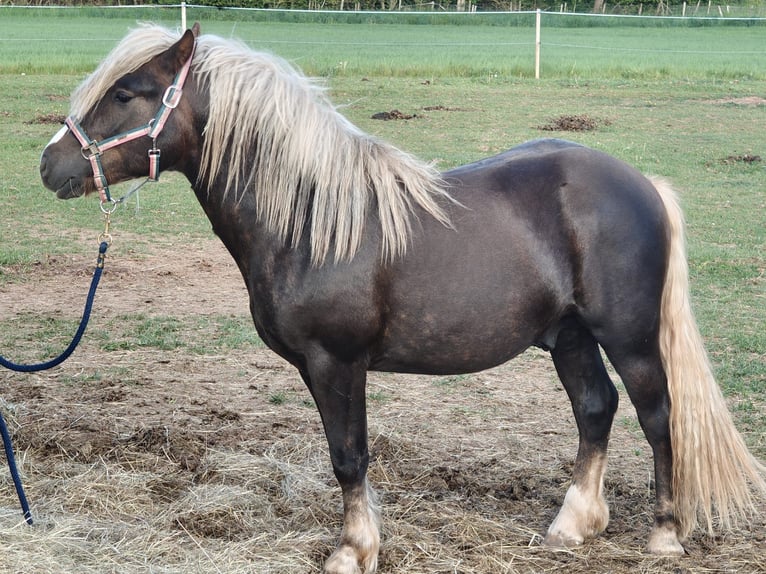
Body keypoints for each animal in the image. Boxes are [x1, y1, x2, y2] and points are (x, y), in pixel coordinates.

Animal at [39, 24, 765, 573]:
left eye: (127, 93)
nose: (50, 164)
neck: (311, 219)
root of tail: (641, 184)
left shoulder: (337, 362)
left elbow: (349, 456)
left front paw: (353, 550)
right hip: (570, 336)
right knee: (596, 409)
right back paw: (571, 525)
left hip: (630, 337)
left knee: (657, 415)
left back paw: (664, 534)